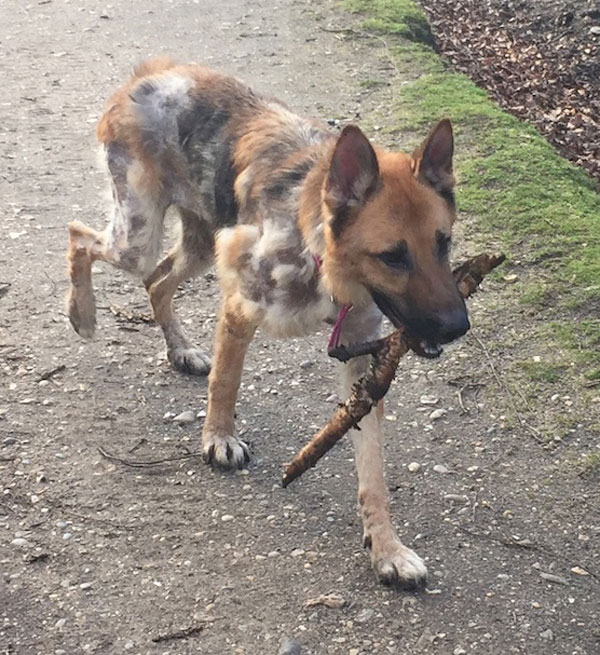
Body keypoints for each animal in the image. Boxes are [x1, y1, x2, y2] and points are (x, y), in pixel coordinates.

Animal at [65, 56, 468, 588]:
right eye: (393, 257)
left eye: (443, 243)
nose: (458, 326)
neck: (322, 258)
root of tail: (154, 71)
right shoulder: (240, 302)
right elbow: (227, 381)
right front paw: (218, 438)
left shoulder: (361, 369)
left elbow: (373, 472)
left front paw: (386, 547)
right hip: (137, 237)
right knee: (81, 237)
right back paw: (82, 314)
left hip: (199, 242)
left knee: (157, 281)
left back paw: (181, 349)